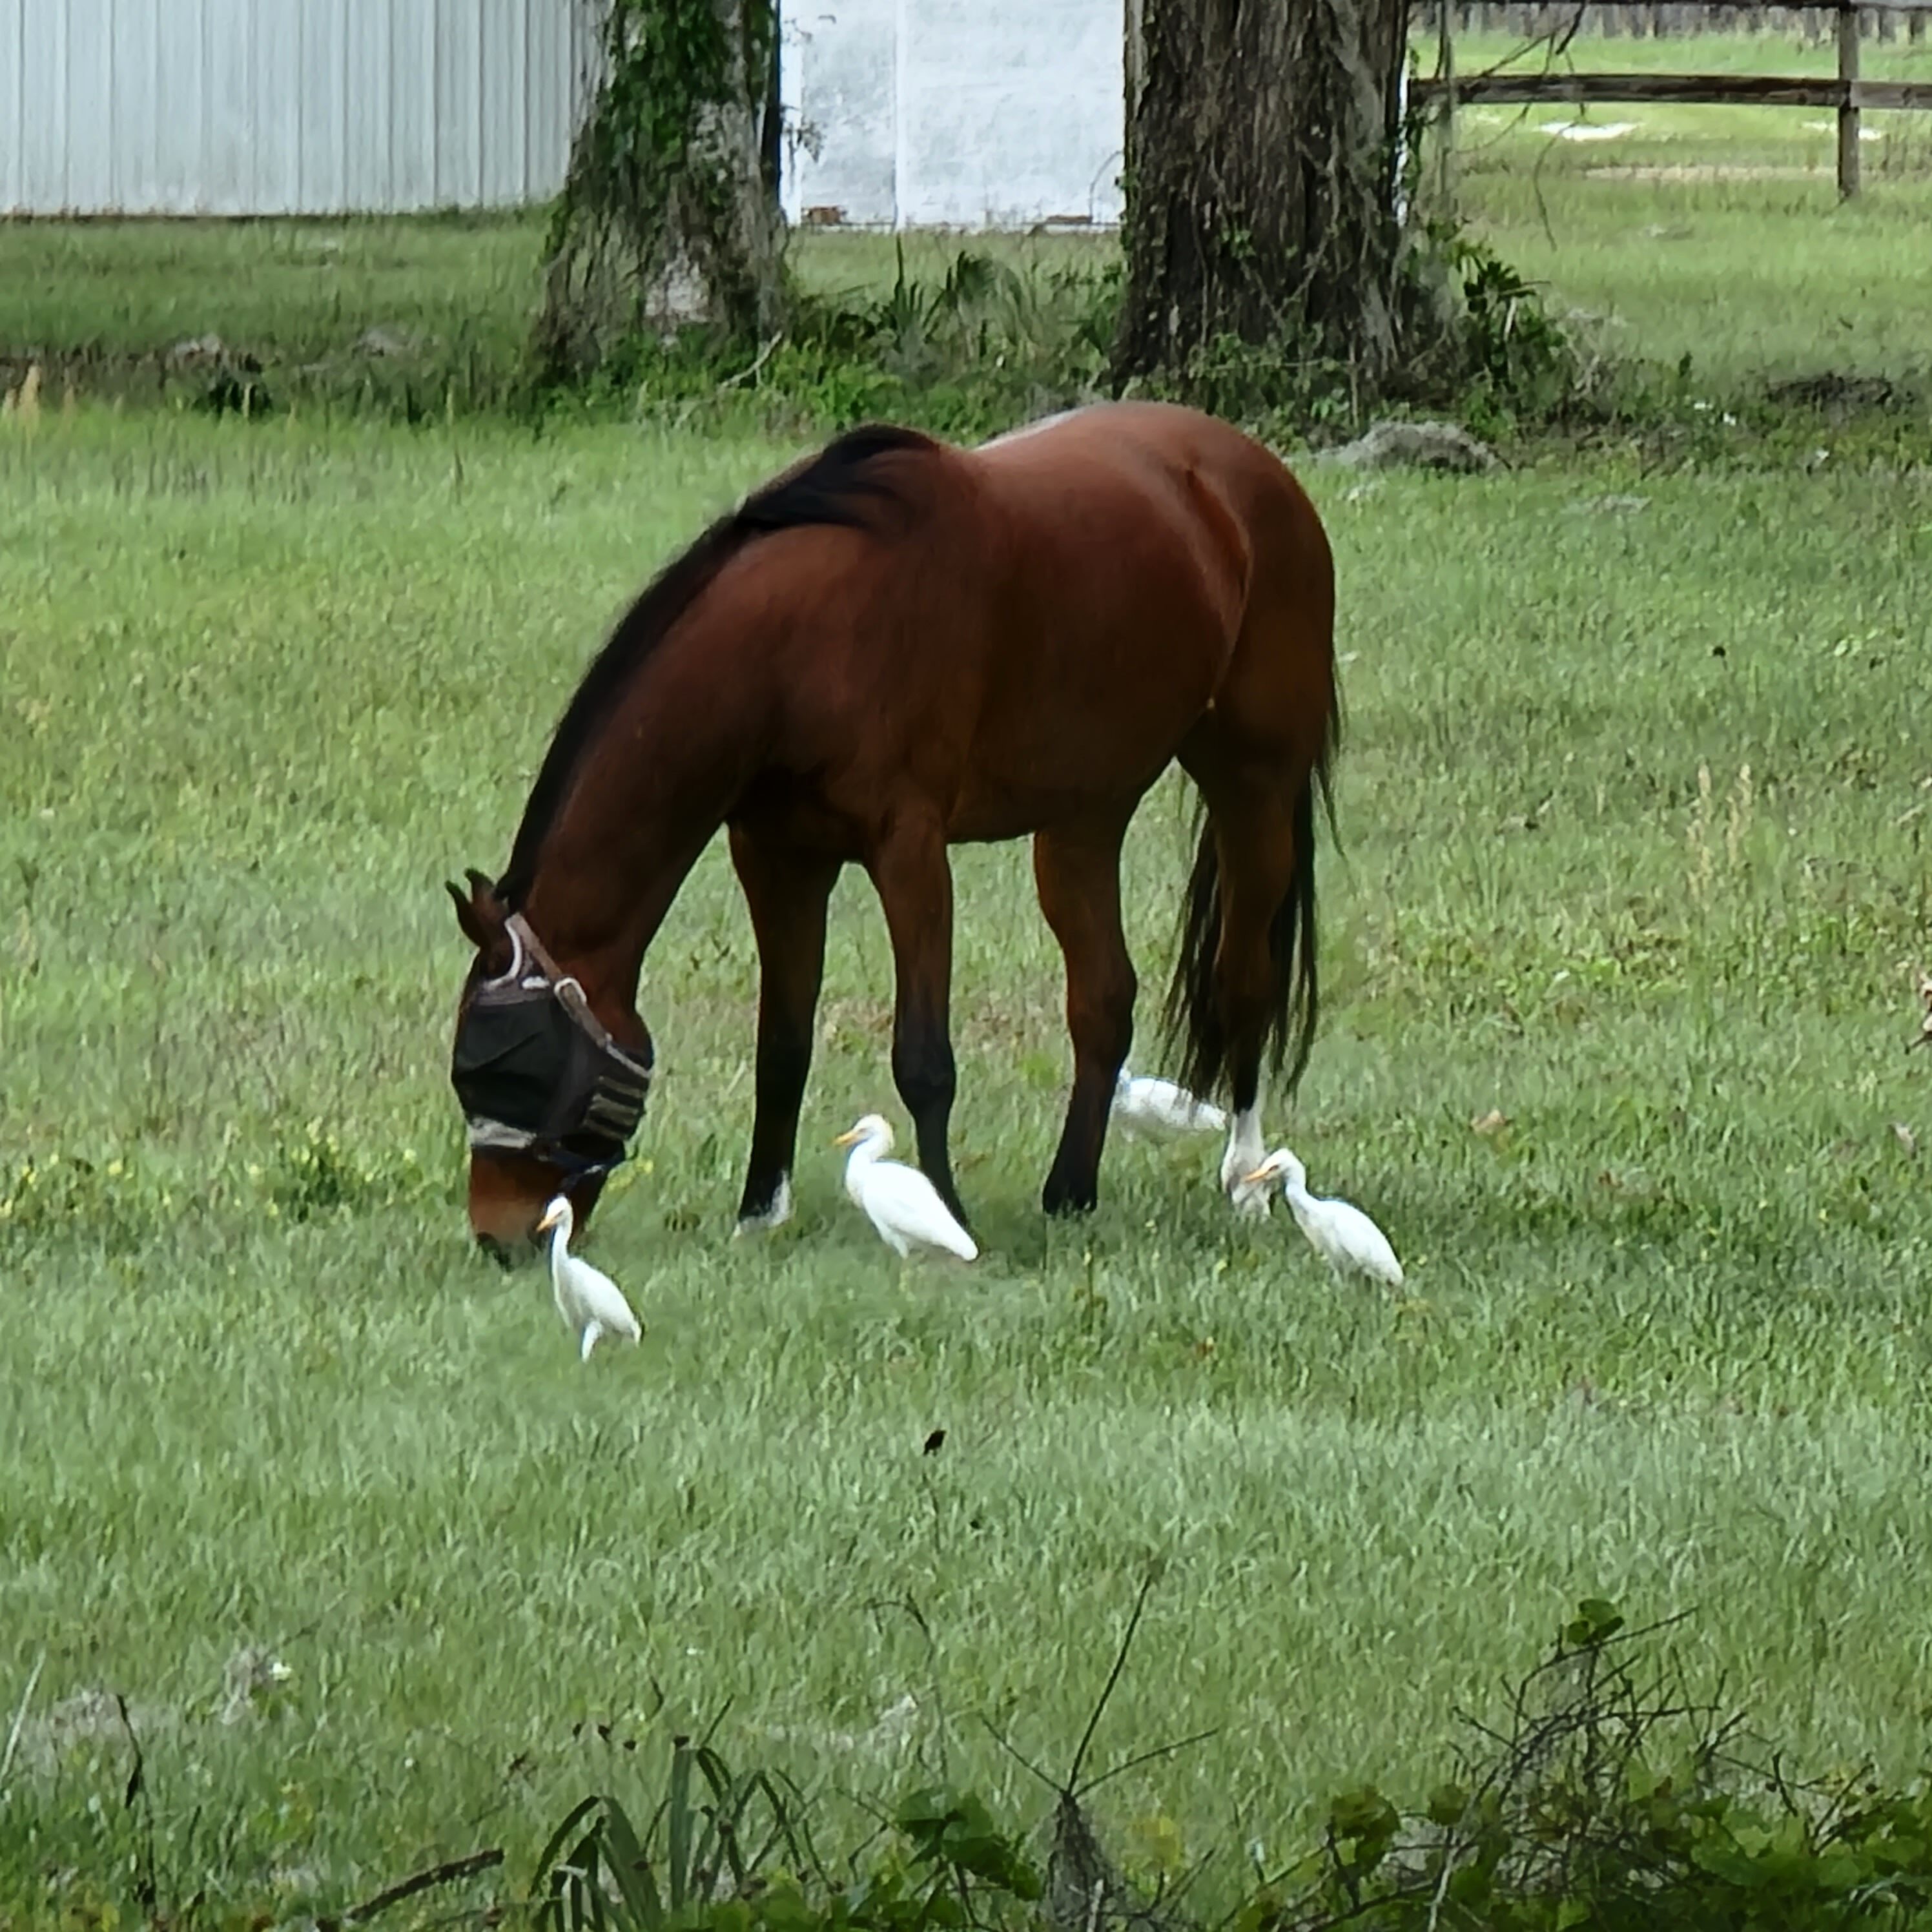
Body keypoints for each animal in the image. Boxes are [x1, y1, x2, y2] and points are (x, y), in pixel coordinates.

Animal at [447, 400, 1339, 1257]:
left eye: (509, 1066)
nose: (499, 1237)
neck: (799, 642)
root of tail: (1252, 474)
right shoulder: (776, 856)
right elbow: (783, 1043)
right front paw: (759, 1214)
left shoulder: (908, 849)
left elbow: (923, 1056)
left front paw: (944, 1210)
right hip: (1083, 818)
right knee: (1103, 998)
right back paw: (1070, 1190)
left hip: (1252, 786)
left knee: (1244, 982)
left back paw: (1244, 1178)